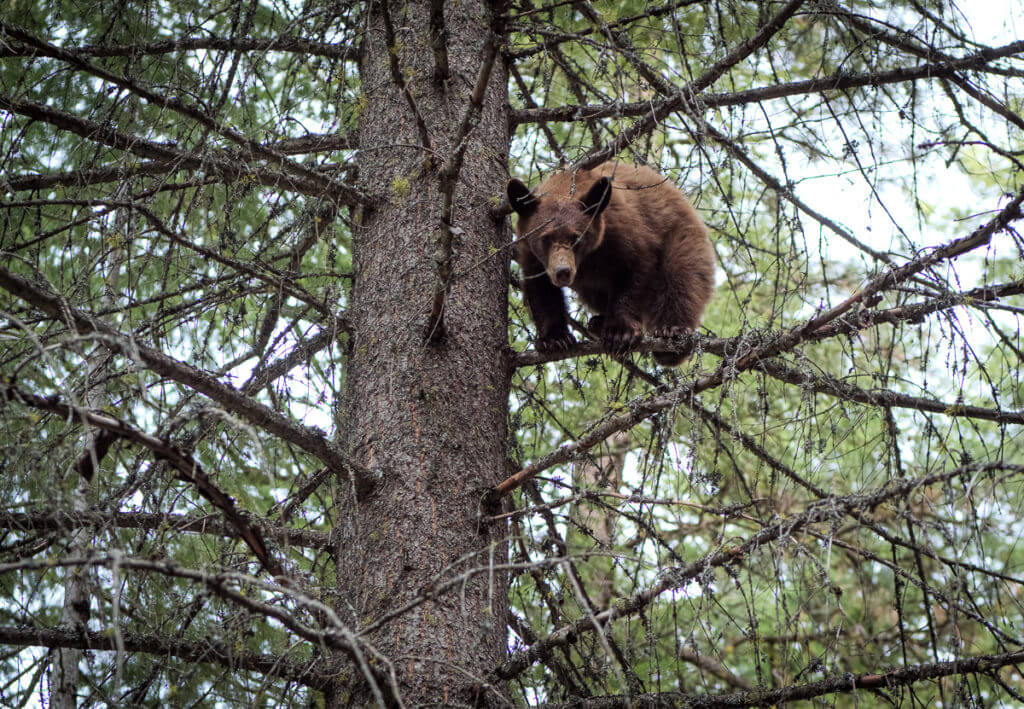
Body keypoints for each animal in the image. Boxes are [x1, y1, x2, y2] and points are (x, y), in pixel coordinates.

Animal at [507, 161, 716, 364]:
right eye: (546, 238)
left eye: (576, 237)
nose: (563, 271)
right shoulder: (531, 253)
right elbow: (540, 287)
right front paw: (554, 339)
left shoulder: (623, 231)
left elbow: (635, 271)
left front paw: (620, 332)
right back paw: (598, 322)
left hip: (682, 236)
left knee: (681, 278)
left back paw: (671, 332)